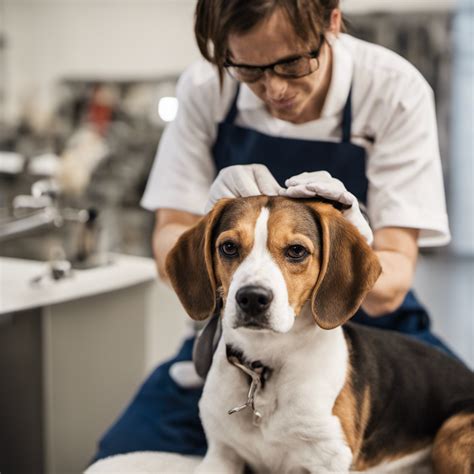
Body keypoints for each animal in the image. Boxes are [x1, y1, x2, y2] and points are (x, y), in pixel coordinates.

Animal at [166, 196, 474, 474]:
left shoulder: (328, 459)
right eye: (228, 247)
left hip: (449, 435)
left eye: (296, 251)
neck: (265, 365)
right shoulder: (221, 454)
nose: (252, 298)